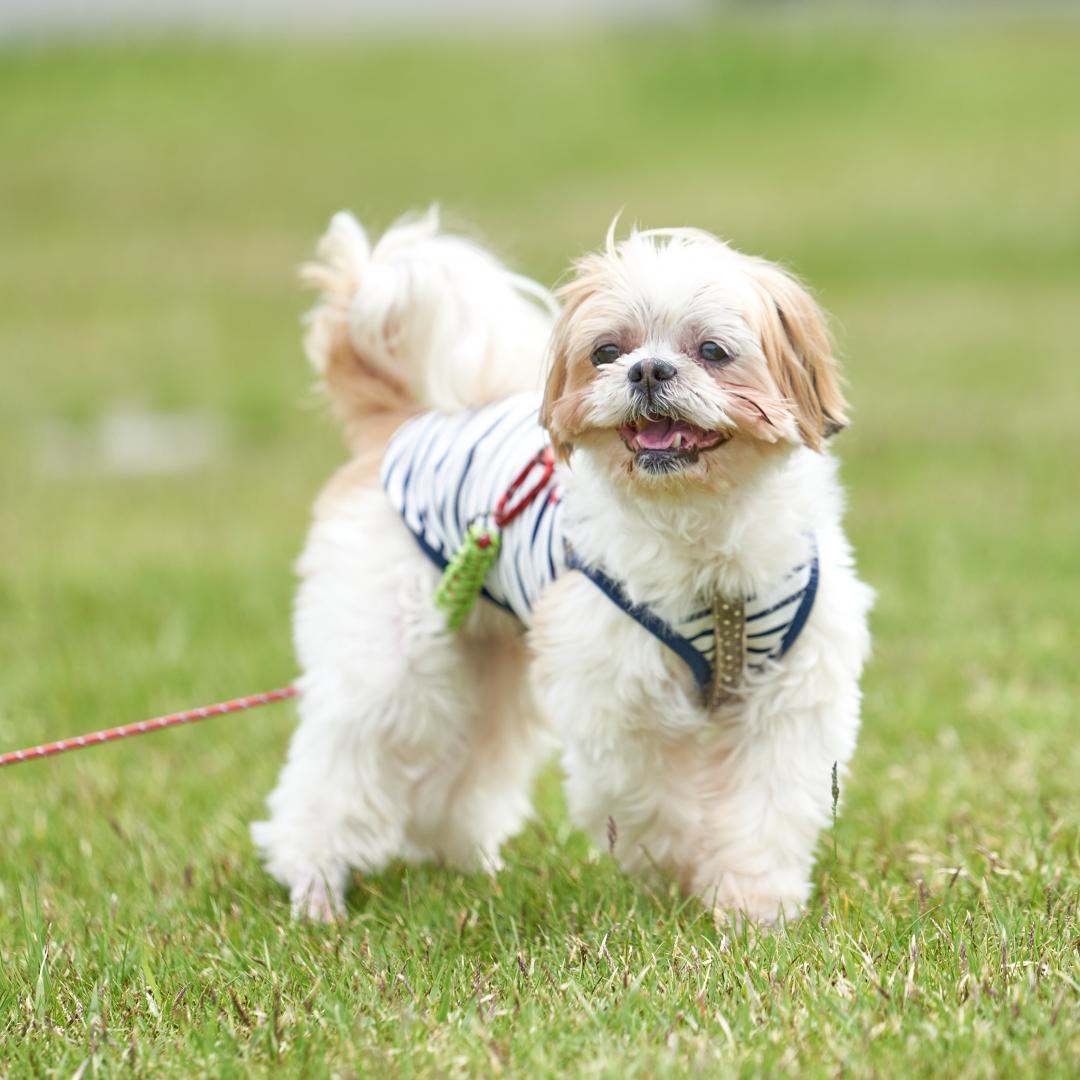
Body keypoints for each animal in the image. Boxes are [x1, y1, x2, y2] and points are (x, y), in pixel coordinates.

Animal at [250, 210, 868, 928]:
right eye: (606, 352)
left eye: (712, 351)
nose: (647, 370)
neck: (700, 531)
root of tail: (399, 426)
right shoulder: (618, 699)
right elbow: (652, 797)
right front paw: (677, 869)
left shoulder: (791, 698)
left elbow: (768, 806)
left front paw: (753, 909)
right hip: (388, 661)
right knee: (337, 769)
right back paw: (315, 889)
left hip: (488, 666)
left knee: (466, 764)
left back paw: (465, 866)